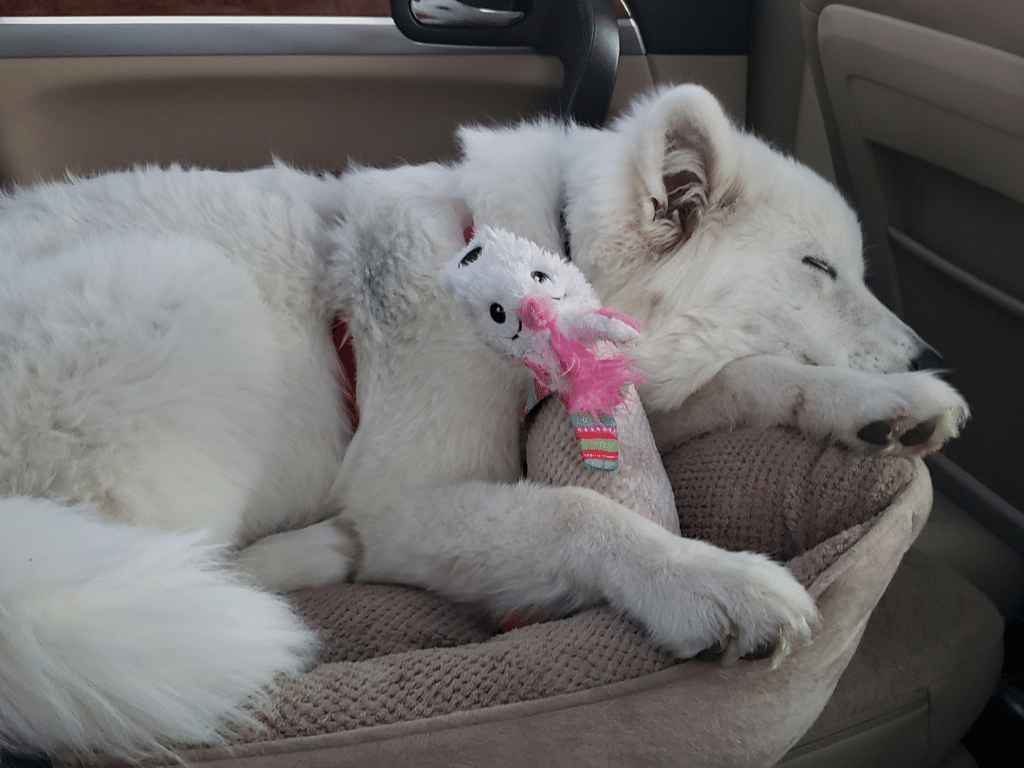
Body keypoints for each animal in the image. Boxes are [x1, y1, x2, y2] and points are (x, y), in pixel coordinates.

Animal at [0, 85, 966, 765]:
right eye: (817, 268)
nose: (927, 347)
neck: (537, 264)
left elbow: (751, 376)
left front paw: (886, 405)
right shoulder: (404, 499)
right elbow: (578, 510)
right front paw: (705, 579)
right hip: (185, 292)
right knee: (158, 574)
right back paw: (312, 554)